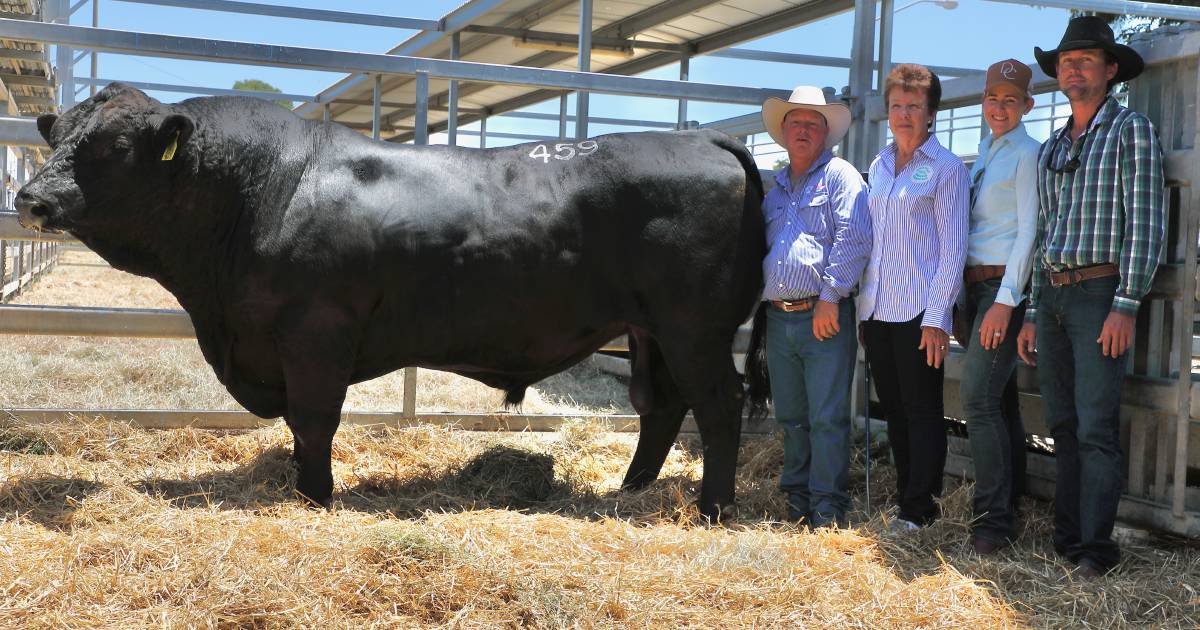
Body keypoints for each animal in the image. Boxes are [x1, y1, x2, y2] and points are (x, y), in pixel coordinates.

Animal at [16, 82, 768, 516]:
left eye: (115, 143)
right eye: (58, 136)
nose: (31, 199)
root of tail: (704, 139)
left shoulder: (315, 333)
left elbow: (313, 419)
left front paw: (315, 496)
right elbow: (301, 426)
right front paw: (302, 484)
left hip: (694, 327)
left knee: (718, 405)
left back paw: (714, 508)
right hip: (649, 330)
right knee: (660, 405)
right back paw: (630, 490)